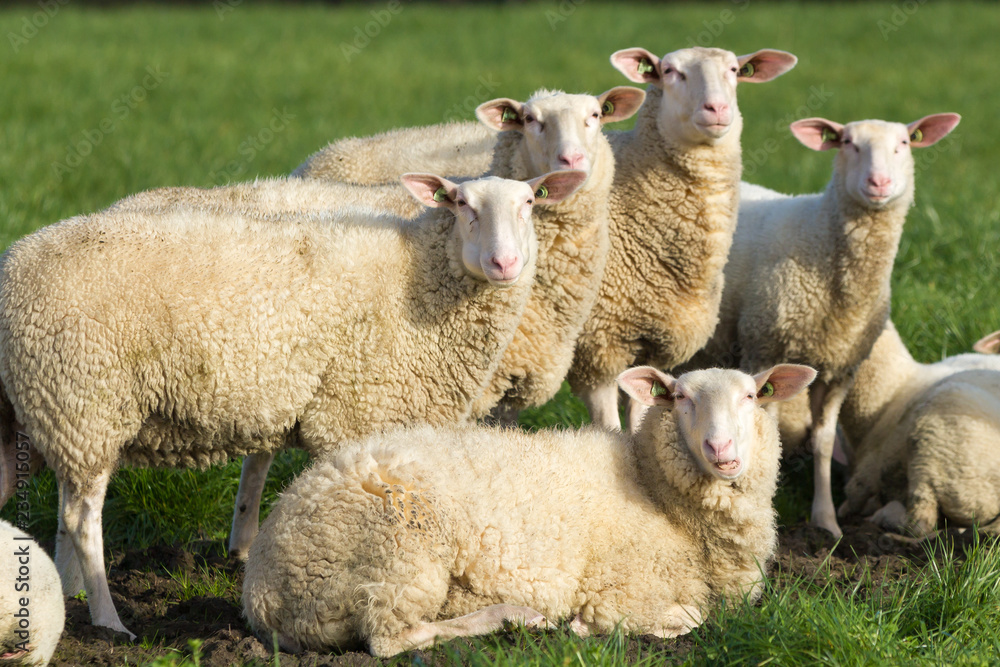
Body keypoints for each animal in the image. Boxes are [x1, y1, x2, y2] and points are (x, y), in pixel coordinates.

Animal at [0, 169, 587, 638]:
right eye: (461, 203)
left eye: (529, 201)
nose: (504, 262)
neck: (419, 278)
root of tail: (15, 262)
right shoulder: (355, 413)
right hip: (84, 403)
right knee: (81, 519)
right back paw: (109, 621)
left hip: (39, 414)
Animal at [241, 363, 816, 656]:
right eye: (679, 398)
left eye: (752, 396)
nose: (723, 451)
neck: (654, 488)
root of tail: (260, 590)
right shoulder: (624, 587)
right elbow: (691, 616)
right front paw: (588, 628)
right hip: (399, 551)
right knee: (392, 639)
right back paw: (516, 618)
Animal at [565, 46, 799, 432]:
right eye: (671, 72)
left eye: (734, 70)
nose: (717, 108)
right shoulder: (598, 345)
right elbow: (608, 426)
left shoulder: (653, 345)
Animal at [683, 113, 961, 537]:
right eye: (848, 143)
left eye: (903, 143)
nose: (879, 183)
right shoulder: (765, 346)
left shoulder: (838, 368)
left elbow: (825, 443)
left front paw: (827, 520)